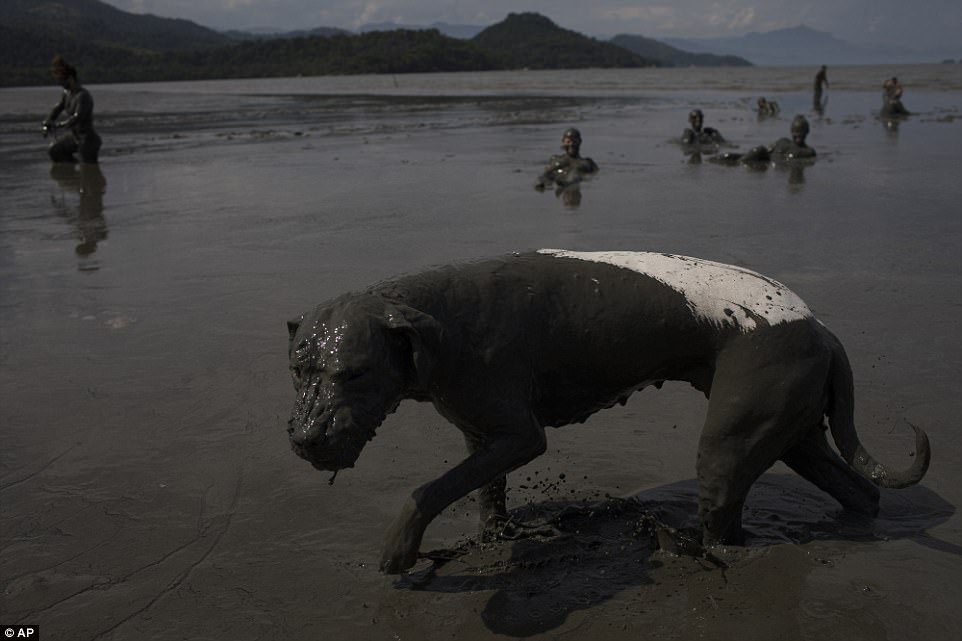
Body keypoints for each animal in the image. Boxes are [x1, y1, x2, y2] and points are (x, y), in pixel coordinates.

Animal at [286, 249, 928, 568]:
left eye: (356, 372)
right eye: (297, 368)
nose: (306, 439)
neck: (435, 316)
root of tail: (821, 329)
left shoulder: (520, 438)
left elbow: (427, 489)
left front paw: (400, 547)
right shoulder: (482, 436)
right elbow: (483, 495)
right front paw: (493, 537)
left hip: (733, 438)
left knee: (724, 521)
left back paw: (689, 550)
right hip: (793, 432)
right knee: (861, 492)